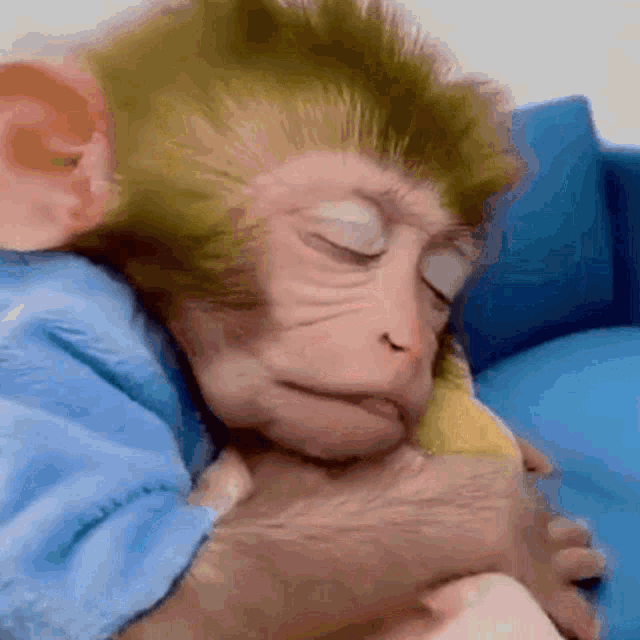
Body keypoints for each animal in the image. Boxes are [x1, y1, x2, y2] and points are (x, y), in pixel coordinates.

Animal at [0, 0, 605, 638]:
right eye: (345, 239)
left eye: (437, 285)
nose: (411, 342)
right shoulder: (63, 328)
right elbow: (159, 611)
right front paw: (502, 520)